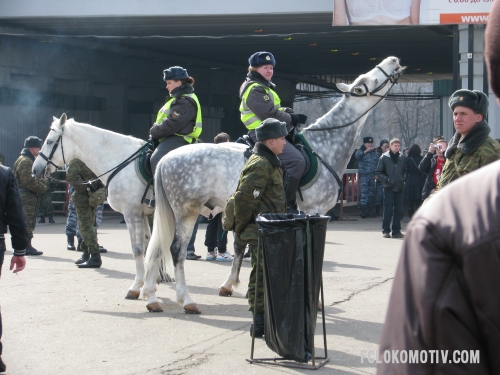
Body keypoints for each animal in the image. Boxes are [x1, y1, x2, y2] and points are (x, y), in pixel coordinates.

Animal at [32, 117, 155, 300]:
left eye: (49, 141)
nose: (35, 169)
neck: (121, 160)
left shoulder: (132, 214)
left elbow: (138, 250)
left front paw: (136, 286)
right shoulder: (143, 213)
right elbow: (147, 245)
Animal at [140, 56, 402, 314]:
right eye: (368, 80)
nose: (393, 60)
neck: (324, 146)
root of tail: (165, 159)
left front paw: (234, 286)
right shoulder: (314, 212)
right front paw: (314, 301)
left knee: (157, 246)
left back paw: (151, 296)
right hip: (187, 212)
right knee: (175, 250)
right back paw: (185, 300)